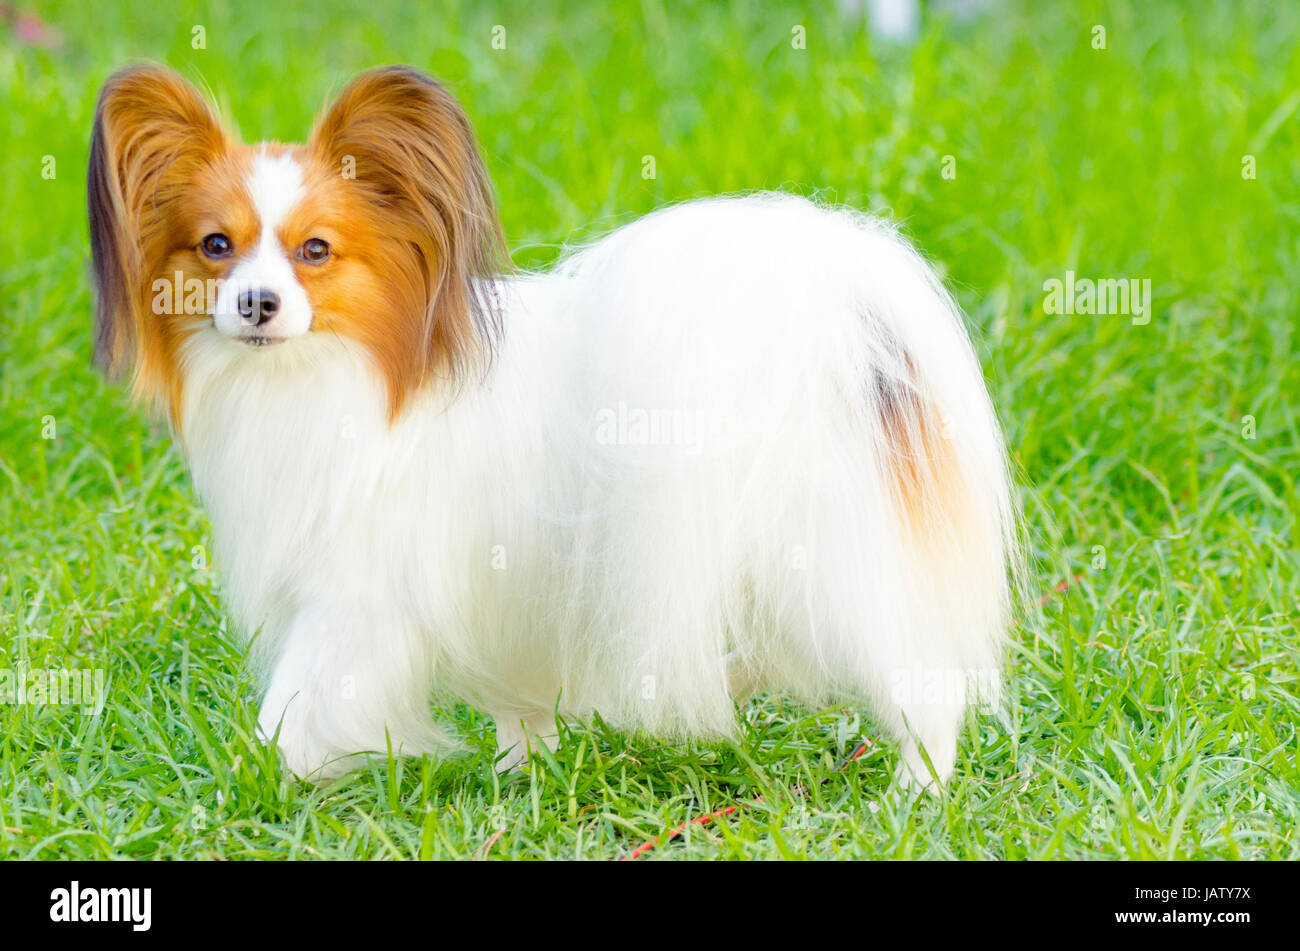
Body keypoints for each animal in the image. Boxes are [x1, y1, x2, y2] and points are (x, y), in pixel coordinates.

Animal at [91, 61, 1019, 789]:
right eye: (214, 246)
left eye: (315, 251)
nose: (256, 302)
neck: (332, 379)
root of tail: (852, 325)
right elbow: (518, 705)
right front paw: (522, 772)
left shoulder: (357, 595)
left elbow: (298, 696)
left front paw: (258, 772)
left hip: (822, 557)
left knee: (921, 678)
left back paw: (916, 789)